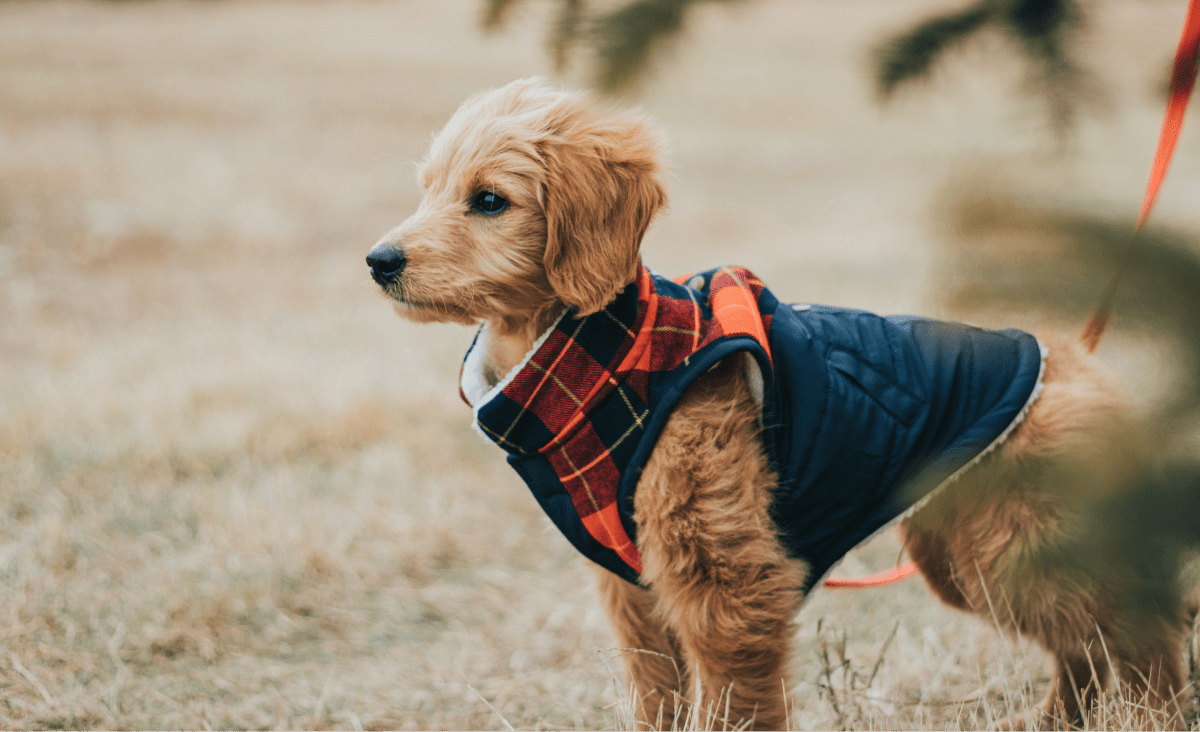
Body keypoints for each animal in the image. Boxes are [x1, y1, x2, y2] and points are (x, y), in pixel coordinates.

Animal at [367, 76, 1190, 724]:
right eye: (429, 188)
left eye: (489, 200)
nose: (379, 261)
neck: (608, 358)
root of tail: (1074, 357)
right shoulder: (635, 589)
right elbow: (658, 692)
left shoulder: (728, 578)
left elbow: (734, 702)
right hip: (975, 553)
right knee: (1084, 644)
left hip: (1014, 543)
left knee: (1137, 626)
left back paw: (1153, 714)